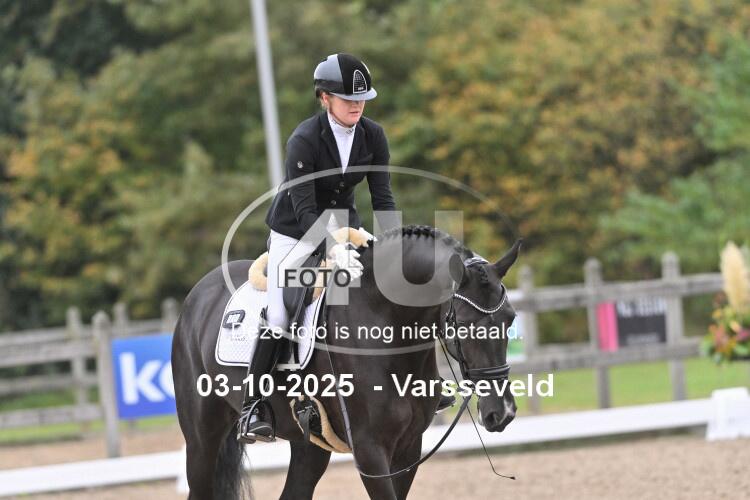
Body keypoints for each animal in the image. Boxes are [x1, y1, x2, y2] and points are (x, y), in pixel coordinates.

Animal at [172, 224, 521, 499]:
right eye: (464, 324)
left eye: (510, 318)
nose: (502, 413)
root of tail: (198, 293)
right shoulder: (369, 451)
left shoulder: (409, 446)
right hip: (202, 439)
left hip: (309, 444)